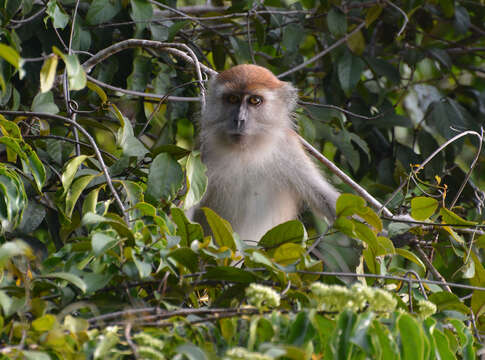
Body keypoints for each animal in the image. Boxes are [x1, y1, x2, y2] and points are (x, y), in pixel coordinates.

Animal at [191, 65, 338, 242]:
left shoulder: (288, 148)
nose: (239, 120)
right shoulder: (204, 148)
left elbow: (327, 200)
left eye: (255, 100)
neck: (246, 152)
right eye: (232, 99)